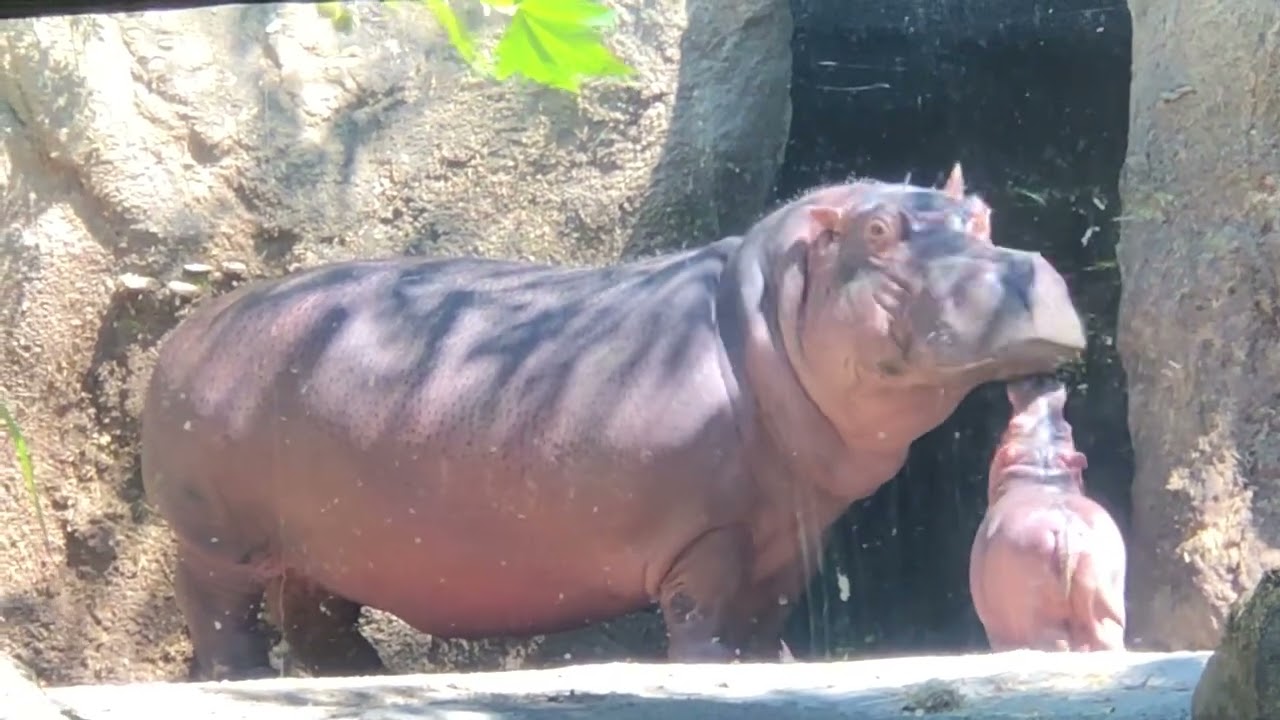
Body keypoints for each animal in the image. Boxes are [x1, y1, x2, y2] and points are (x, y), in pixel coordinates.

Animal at [141, 165, 1087, 680]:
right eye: (882, 231)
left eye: (981, 215)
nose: (1025, 268)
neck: (761, 316)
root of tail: (188, 331)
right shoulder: (710, 533)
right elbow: (707, 610)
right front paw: (715, 668)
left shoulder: (789, 527)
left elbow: (770, 608)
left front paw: (776, 665)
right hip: (217, 536)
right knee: (219, 606)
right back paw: (239, 674)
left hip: (318, 538)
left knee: (315, 609)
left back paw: (359, 673)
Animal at [968, 374, 1127, 652]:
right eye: (1068, 427)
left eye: (1010, 427)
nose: (1042, 382)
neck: (1043, 467)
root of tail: (1067, 531)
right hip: (1106, 612)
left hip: (1038, 619)